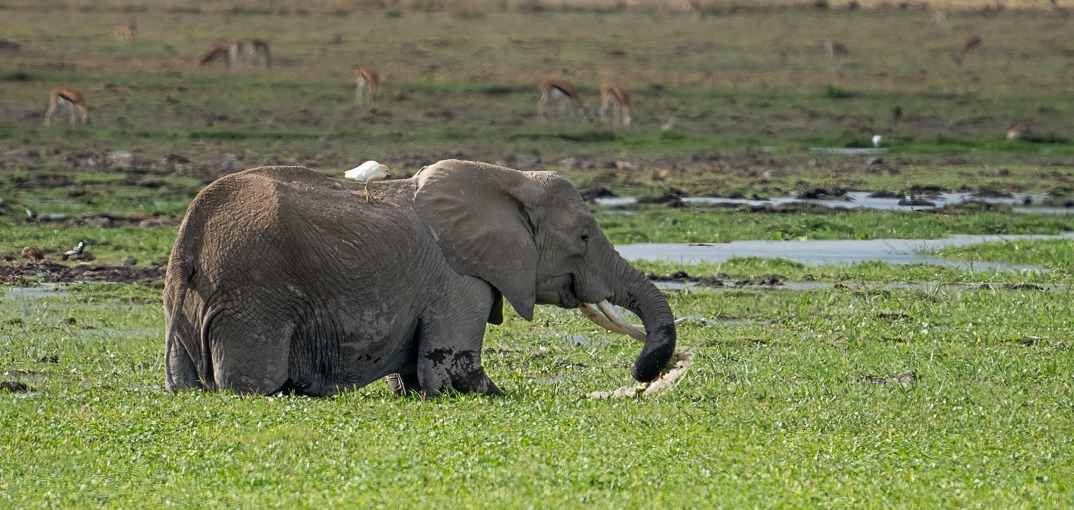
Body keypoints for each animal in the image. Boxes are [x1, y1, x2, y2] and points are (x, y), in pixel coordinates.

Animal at [164, 159, 677, 397]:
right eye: (584, 236)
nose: (641, 372)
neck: (507, 180)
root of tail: (189, 239)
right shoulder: (460, 282)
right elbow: (453, 374)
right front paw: (498, 394)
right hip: (253, 299)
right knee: (254, 385)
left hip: (188, 300)